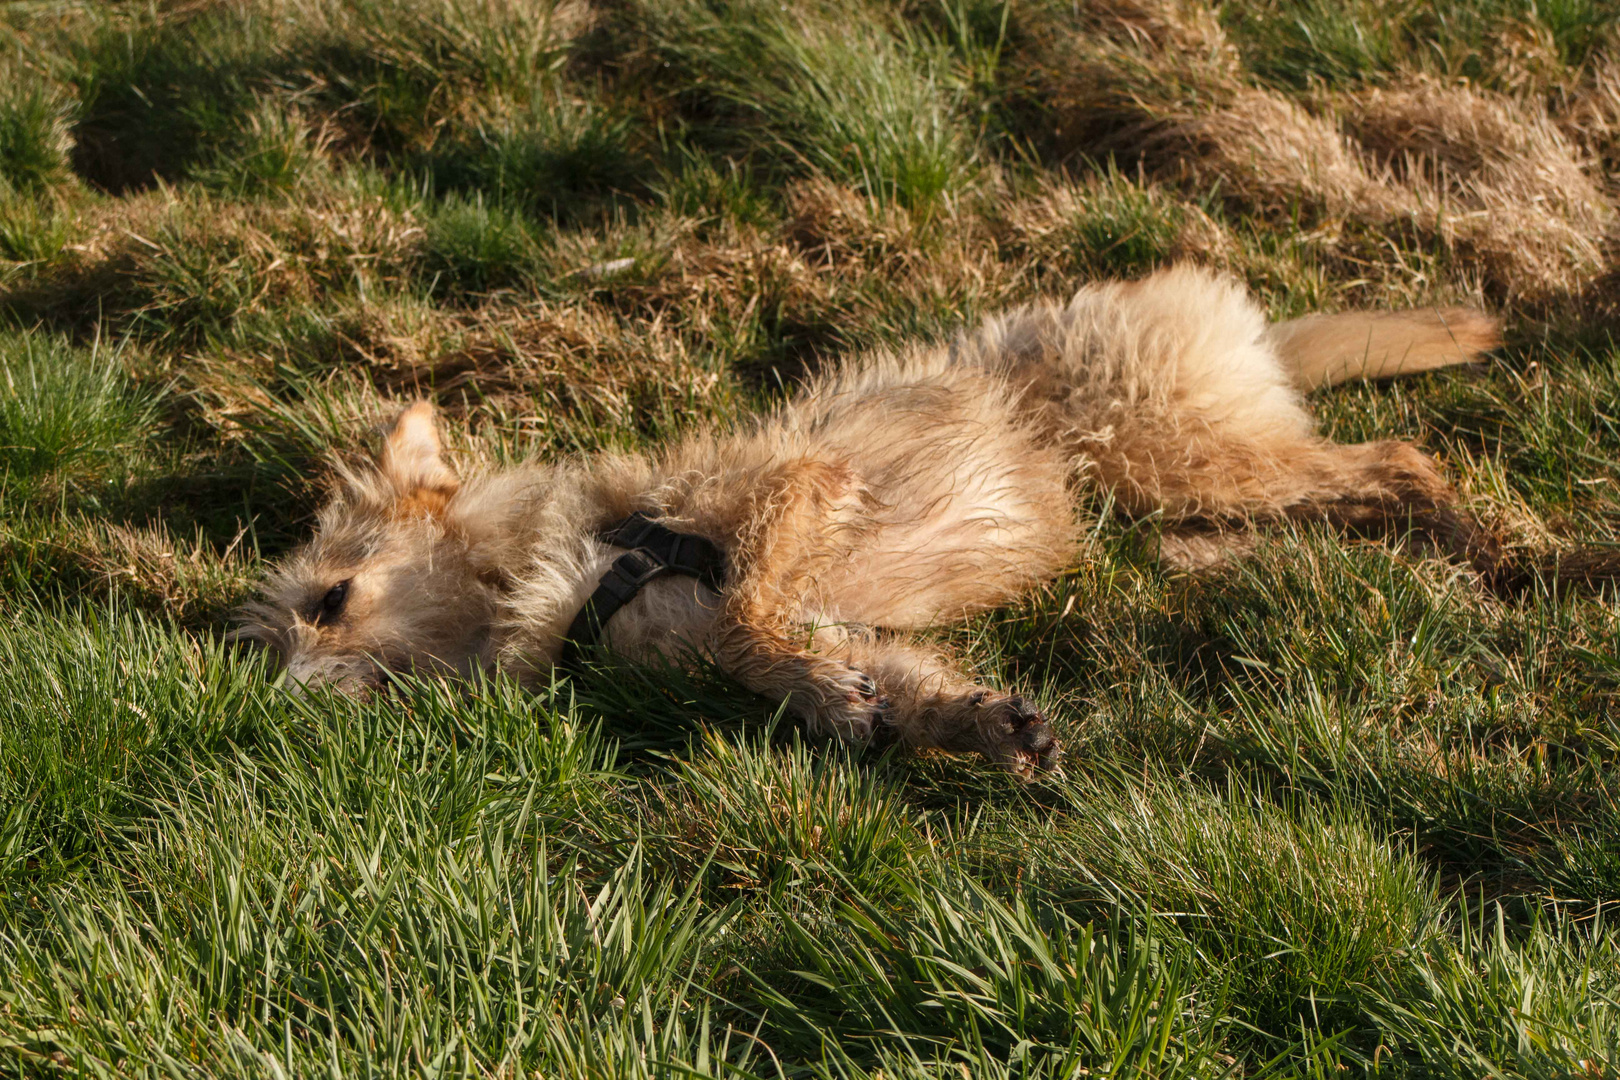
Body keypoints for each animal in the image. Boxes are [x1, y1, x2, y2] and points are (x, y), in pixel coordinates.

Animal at [234, 268, 1496, 777]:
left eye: (332, 600)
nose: (264, 710)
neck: (581, 564)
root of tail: (1252, 326)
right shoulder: (846, 623)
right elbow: (875, 673)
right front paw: (975, 723)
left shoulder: (799, 487)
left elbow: (747, 617)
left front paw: (817, 686)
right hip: (1182, 472)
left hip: (1170, 448)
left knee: (1401, 456)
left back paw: (1467, 535)